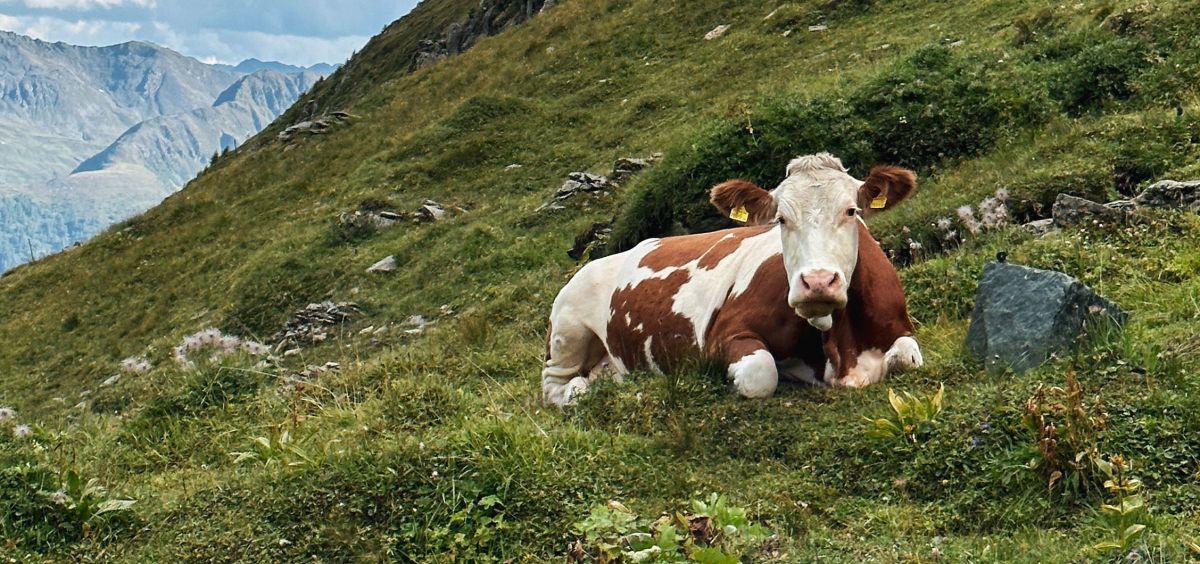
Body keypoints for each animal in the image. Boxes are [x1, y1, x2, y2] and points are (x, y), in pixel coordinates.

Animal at [541, 153, 923, 406]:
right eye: (780, 219)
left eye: (851, 211)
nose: (816, 282)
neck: (841, 347)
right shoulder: (724, 334)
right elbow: (760, 373)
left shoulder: (899, 328)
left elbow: (907, 358)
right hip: (567, 329)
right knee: (555, 385)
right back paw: (582, 390)